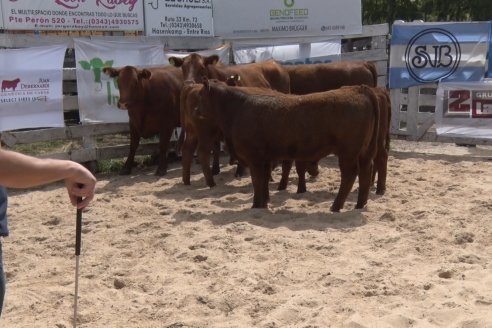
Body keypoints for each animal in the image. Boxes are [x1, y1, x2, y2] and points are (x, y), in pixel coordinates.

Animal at [196, 79, 380, 210]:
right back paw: (359, 204)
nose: (195, 110)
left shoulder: (254, 158)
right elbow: (263, 181)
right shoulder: (265, 159)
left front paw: (255, 205)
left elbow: (257, 181)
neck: (237, 109)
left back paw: (336, 206)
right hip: (363, 152)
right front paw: (263, 203)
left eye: (200, 95)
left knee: (350, 175)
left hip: (348, 152)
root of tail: (358, 88)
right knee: (365, 171)